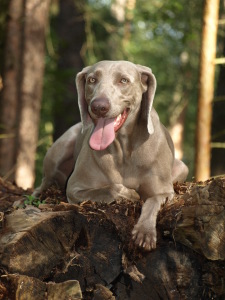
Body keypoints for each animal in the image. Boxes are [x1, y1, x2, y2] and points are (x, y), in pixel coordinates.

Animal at [33, 61, 188, 251]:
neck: (123, 150)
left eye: (124, 80)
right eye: (92, 79)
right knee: (46, 179)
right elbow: (110, 188)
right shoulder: (74, 187)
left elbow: (153, 202)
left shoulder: (164, 191)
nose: (99, 107)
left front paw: (145, 232)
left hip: (182, 167)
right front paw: (131, 194)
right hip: (61, 146)